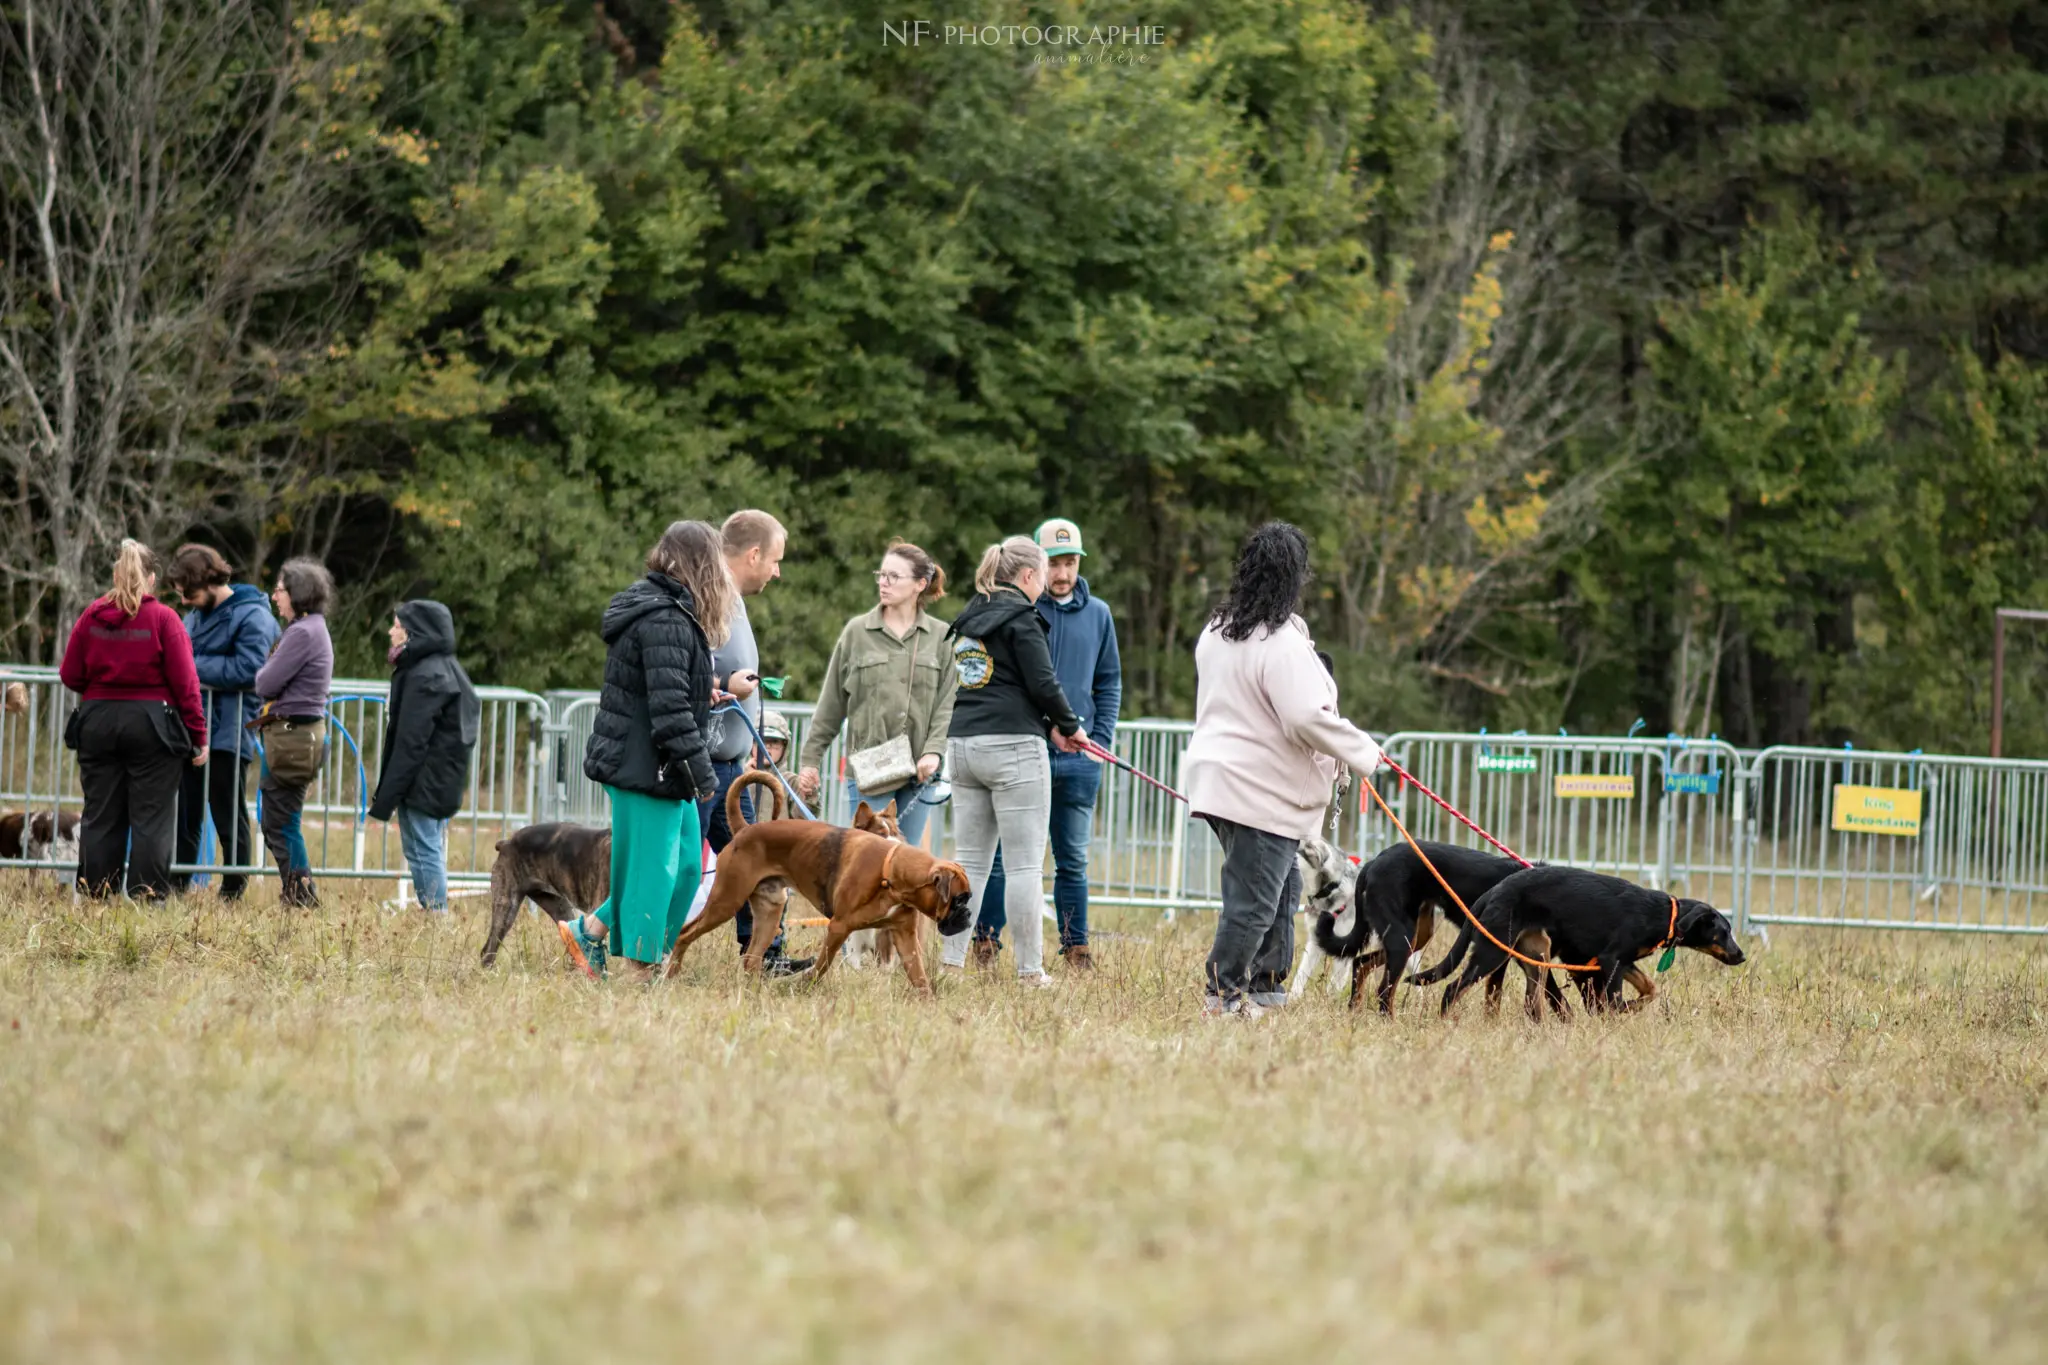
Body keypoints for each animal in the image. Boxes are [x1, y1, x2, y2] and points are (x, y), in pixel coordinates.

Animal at [659, 810, 970, 994]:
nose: (968, 916)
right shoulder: (839, 929)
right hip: (726, 901)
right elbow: (822, 966)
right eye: (958, 900)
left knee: (751, 958)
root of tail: (745, 829)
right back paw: (669, 972)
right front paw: (804, 984)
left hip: (770, 914)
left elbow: (920, 978)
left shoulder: (904, 938)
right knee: (685, 933)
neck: (891, 871)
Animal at [1286, 839, 1368, 998]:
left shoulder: (1344, 948)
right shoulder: (1316, 940)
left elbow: (1334, 983)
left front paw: (1329, 999)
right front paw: (1292, 998)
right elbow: (1301, 974)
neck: (1332, 888)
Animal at [1318, 839, 1531, 1019]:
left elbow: (1497, 999)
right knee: (1384, 990)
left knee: (1361, 963)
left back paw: (1354, 1011)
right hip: (1402, 937)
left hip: (1415, 937)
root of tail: (1375, 860)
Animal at [1433, 871, 1753, 1019]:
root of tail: (1492, 893)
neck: (1664, 915)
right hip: (1493, 951)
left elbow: (1650, 989)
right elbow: (1613, 1001)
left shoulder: (1617, 962)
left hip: (1537, 953)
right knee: (1452, 988)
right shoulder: (1611, 960)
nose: (1741, 956)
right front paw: (1621, 1010)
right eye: (1724, 931)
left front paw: (1630, 1007)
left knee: (1532, 1004)